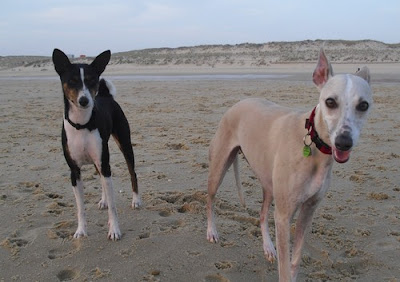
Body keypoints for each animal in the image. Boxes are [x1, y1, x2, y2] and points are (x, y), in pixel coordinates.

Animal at [52, 48, 141, 240]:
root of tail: (106, 95)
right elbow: (80, 207)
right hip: (97, 160)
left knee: (133, 173)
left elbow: (114, 208)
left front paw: (114, 230)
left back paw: (136, 200)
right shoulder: (74, 171)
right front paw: (81, 230)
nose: (84, 100)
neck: (82, 125)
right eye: (72, 81)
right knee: (101, 178)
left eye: (91, 80)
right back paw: (103, 200)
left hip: (125, 145)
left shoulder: (105, 164)